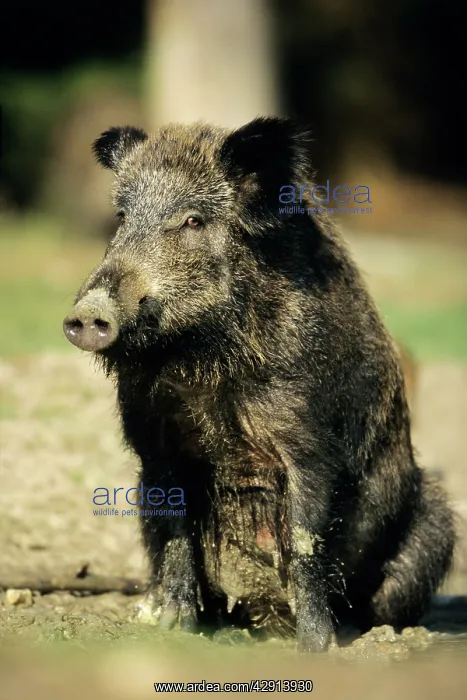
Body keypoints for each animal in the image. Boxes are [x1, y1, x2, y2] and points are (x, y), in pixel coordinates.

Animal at [63, 118, 455, 651]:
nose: (88, 313)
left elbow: (307, 540)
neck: (203, 366)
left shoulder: (310, 439)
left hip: (435, 524)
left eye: (192, 221)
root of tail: (263, 614)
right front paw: (175, 628)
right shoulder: (152, 441)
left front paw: (317, 648)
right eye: (121, 217)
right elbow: (175, 533)